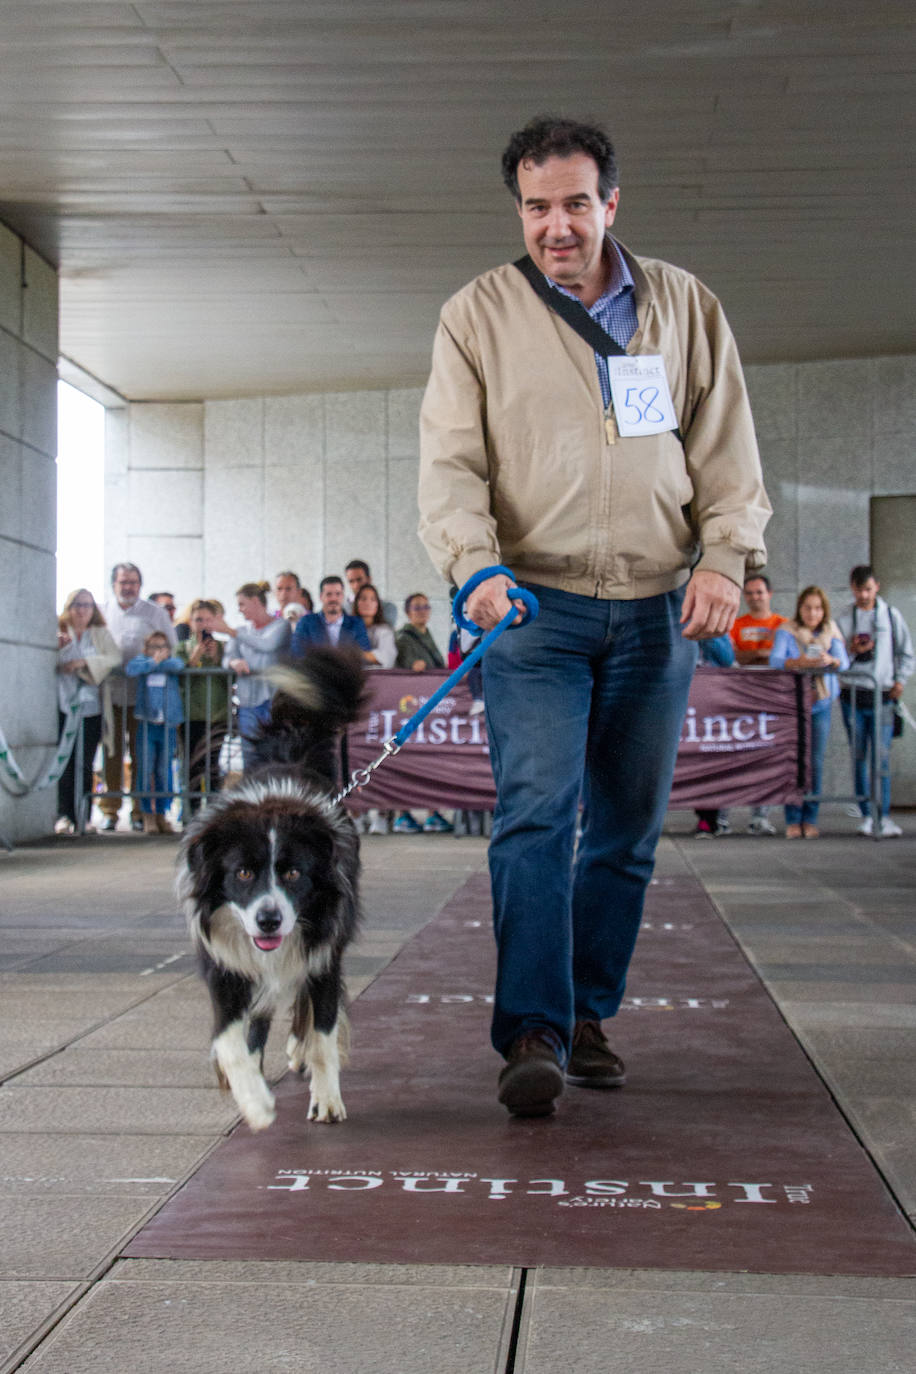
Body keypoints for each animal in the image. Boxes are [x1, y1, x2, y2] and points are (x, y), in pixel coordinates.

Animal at [175, 648, 365, 1132]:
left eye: (294, 874)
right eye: (242, 873)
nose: (268, 919)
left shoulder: (322, 947)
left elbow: (323, 1029)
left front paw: (327, 1100)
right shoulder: (224, 962)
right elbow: (230, 1038)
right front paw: (255, 1101)